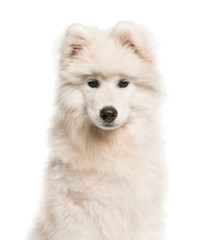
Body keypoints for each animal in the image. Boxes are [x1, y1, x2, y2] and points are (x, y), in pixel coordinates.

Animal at [27, 21, 166, 239]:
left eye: (123, 83)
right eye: (92, 83)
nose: (108, 113)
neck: (108, 148)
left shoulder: (140, 210)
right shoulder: (75, 211)